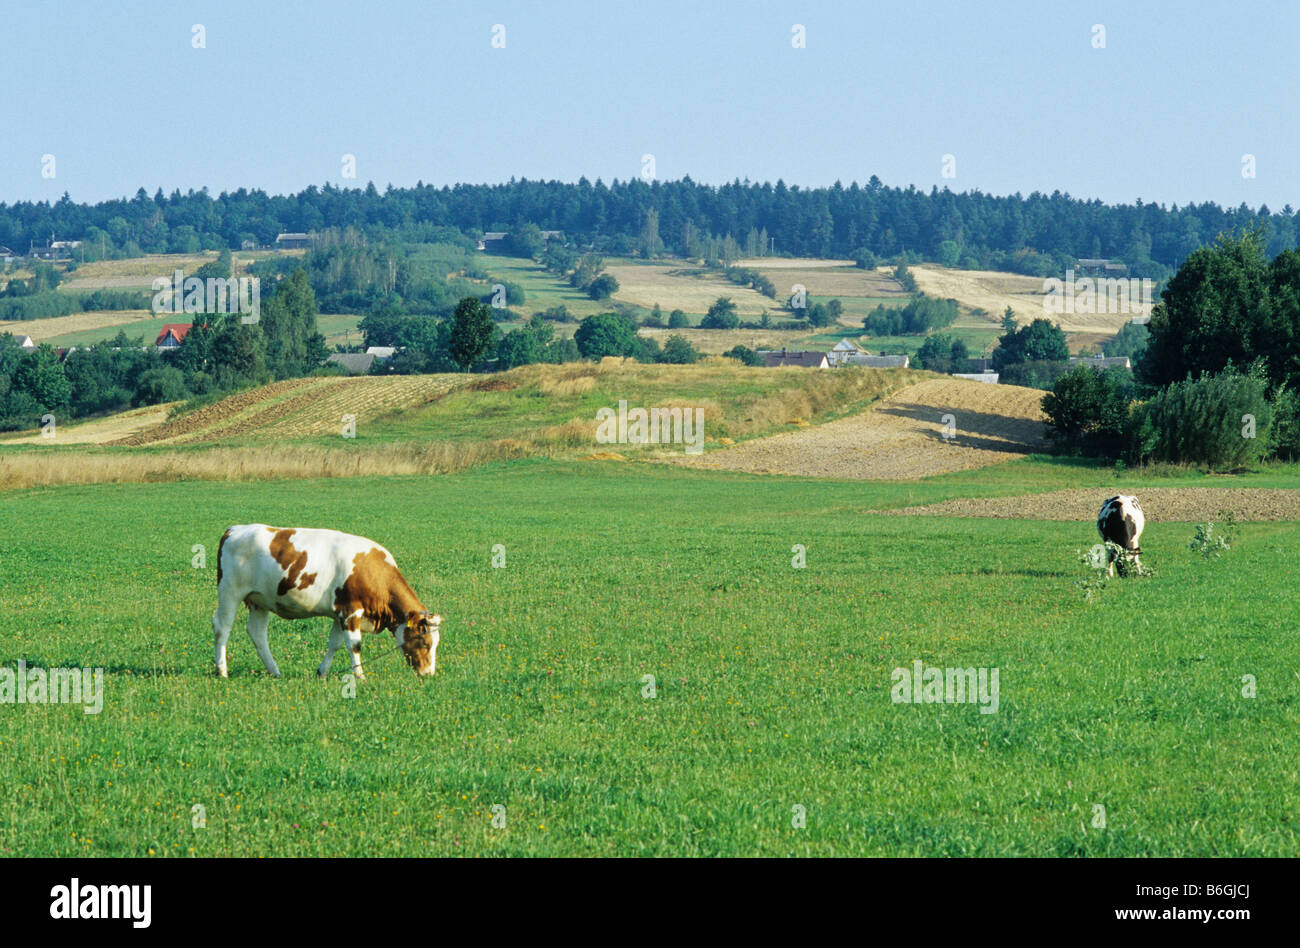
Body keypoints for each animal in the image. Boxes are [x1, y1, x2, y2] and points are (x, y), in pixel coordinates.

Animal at [210, 525, 439, 681]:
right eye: (425, 643)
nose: (428, 674)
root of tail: (235, 529)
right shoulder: (351, 611)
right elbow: (354, 645)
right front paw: (360, 676)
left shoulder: (340, 614)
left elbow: (334, 643)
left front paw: (322, 672)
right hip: (230, 591)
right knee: (222, 627)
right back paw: (222, 671)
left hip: (260, 600)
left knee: (257, 633)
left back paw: (274, 671)